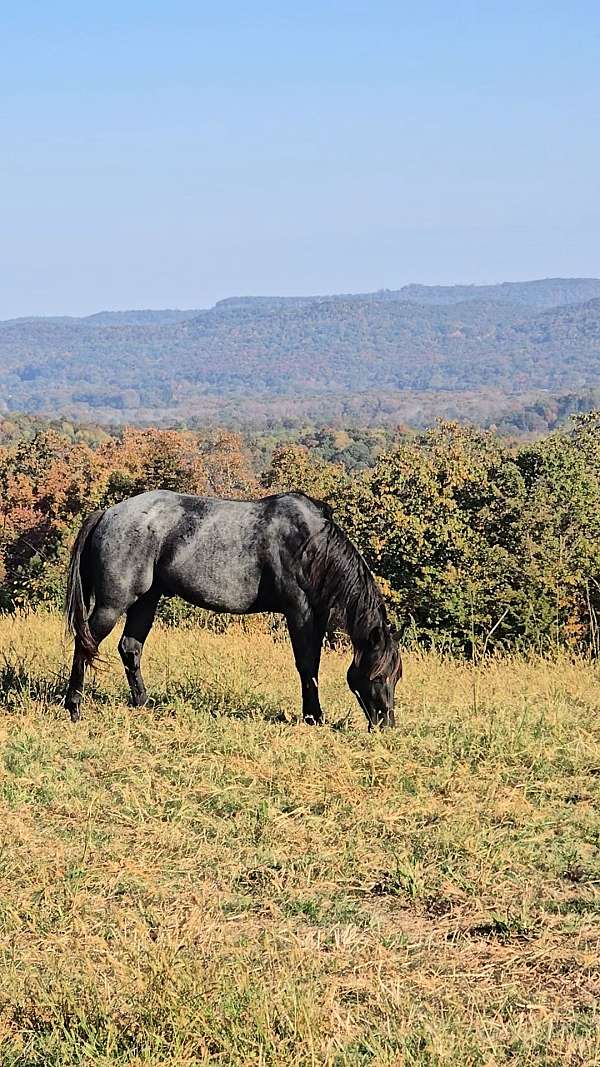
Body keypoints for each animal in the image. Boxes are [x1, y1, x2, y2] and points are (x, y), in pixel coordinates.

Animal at [64, 488, 401, 725]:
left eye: (396, 676)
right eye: (378, 676)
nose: (386, 724)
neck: (311, 545)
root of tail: (107, 513)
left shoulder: (314, 617)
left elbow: (312, 666)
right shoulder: (299, 613)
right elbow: (307, 665)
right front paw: (313, 717)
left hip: (146, 600)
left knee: (130, 647)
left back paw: (143, 703)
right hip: (112, 604)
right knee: (86, 643)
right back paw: (74, 707)